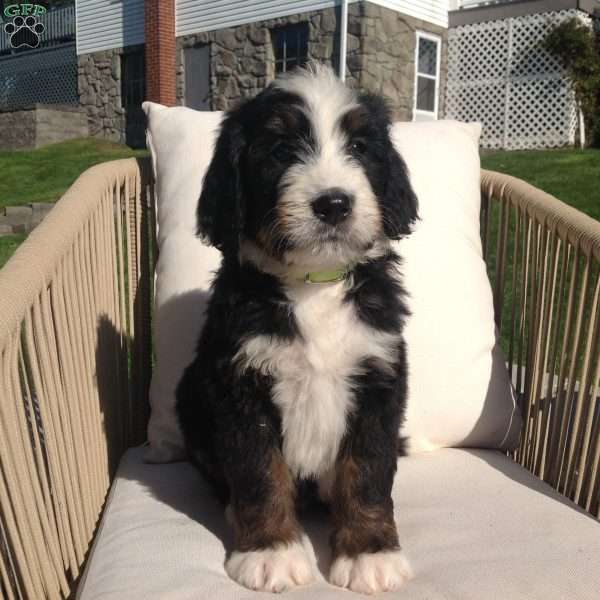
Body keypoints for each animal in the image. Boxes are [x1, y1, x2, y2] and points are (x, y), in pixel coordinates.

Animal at [176, 67, 414, 596]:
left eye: (360, 147)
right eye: (281, 151)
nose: (334, 204)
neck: (314, 284)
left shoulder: (379, 376)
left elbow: (367, 471)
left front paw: (370, 553)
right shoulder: (240, 382)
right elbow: (260, 472)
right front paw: (271, 552)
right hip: (189, 395)